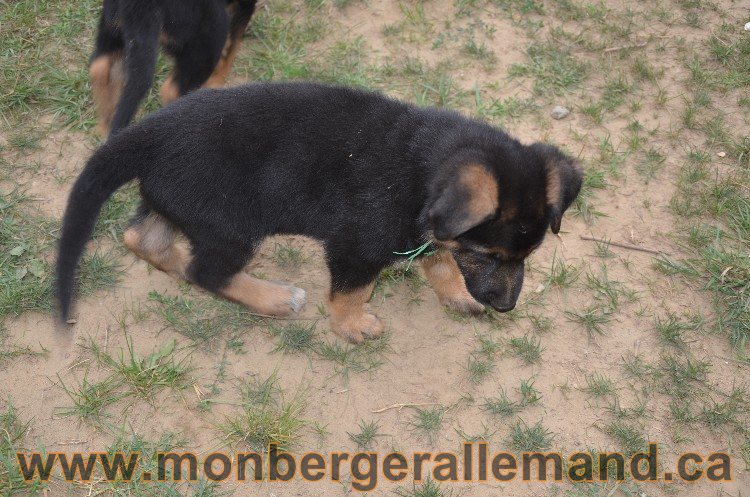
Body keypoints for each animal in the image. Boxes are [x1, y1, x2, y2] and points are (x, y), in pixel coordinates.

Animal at [58, 83, 588, 342]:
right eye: (489, 254)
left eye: (526, 256)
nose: (506, 307)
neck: (423, 166)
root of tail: (147, 135)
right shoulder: (356, 247)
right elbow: (352, 292)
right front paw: (353, 327)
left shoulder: (429, 235)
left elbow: (439, 262)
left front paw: (458, 295)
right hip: (231, 225)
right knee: (204, 270)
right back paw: (274, 299)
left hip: (180, 203)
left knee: (143, 239)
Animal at [89, 0, 256, 136]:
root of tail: (142, 4)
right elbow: (234, 43)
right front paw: (219, 80)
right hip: (210, 37)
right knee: (171, 90)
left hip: (113, 28)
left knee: (99, 68)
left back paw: (105, 126)